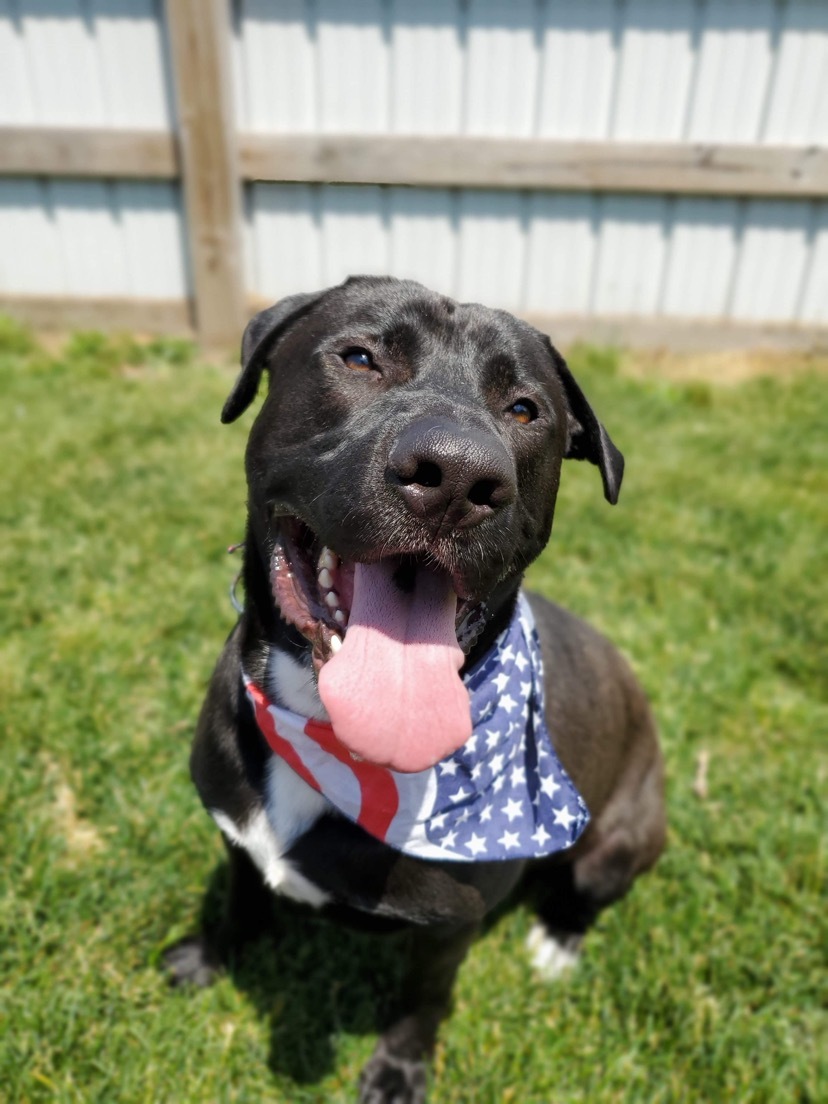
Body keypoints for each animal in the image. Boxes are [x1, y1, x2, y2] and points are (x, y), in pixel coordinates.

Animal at [168, 273, 666, 1095]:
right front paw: (210, 955)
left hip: (625, 837)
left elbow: (424, 998)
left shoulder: (450, 927)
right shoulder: (235, 837)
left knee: (587, 891)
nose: (459, 477)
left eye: (524, 409)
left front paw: (399, 1068)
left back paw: (557, 941)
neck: (329, 731)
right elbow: (241, 901)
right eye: (360, 358)